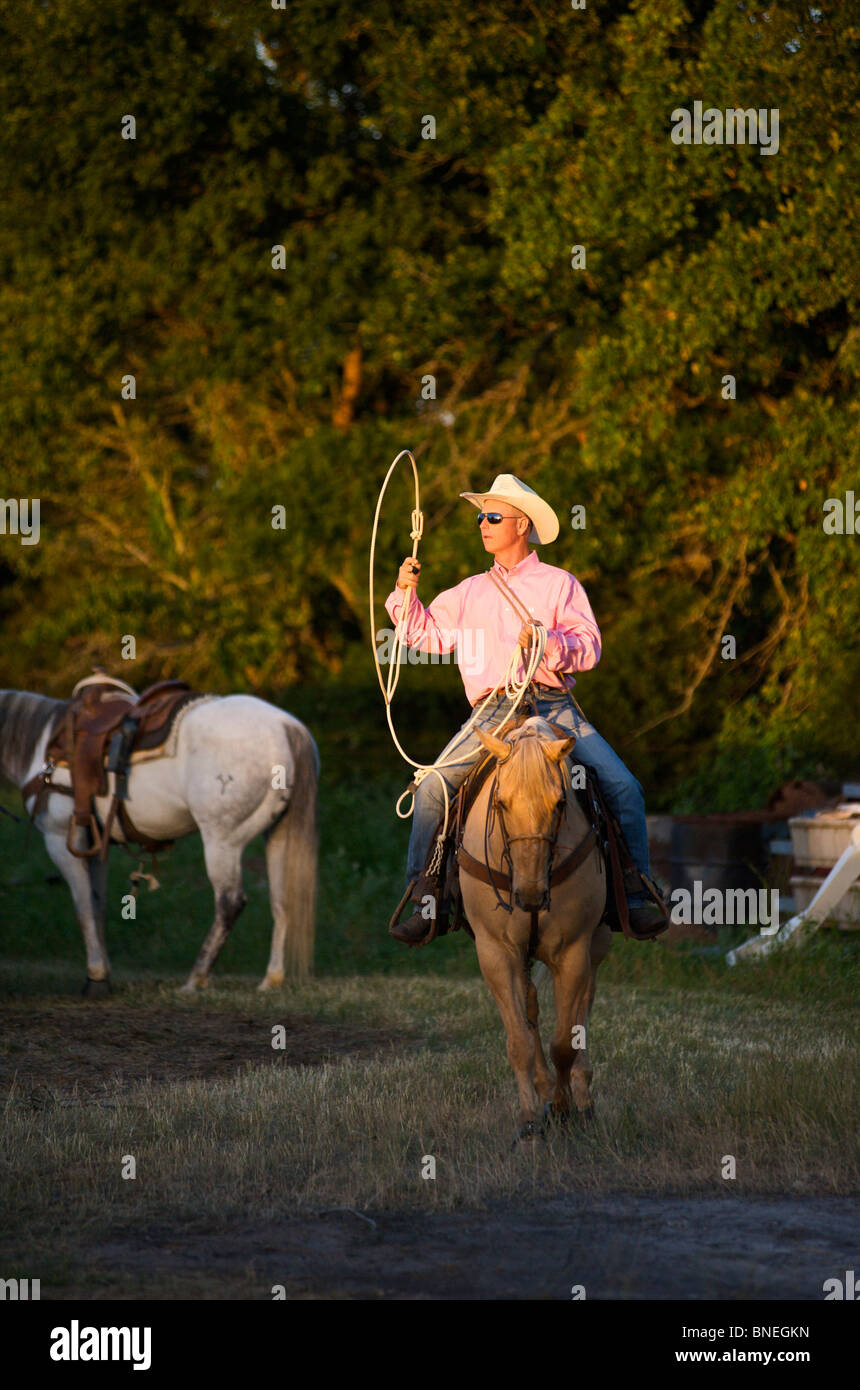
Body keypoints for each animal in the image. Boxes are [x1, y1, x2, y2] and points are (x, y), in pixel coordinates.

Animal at [0, 689, 318, 995]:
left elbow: (84, 909)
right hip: (277, 835)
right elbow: (97, 906)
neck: (42, 750)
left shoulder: (61, 841)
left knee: (230, 902)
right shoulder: (95, 846)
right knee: (280, 901)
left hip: (222, 841)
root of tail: (285, 726)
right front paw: (103, 975)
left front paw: (96, 977)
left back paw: (195, 980)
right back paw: (271, 979)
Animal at [464, 717, 611, 1139]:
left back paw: (582, 1096)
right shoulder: (495, 953)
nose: (529, 895)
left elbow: (564, 1043)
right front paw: (530, 1117)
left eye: (560, 803)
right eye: (500, 803)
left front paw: (562, 1107)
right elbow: (520, 1042)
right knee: (530, 1006)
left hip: (596, 947)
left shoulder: (574, 951)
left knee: (583, 1007)